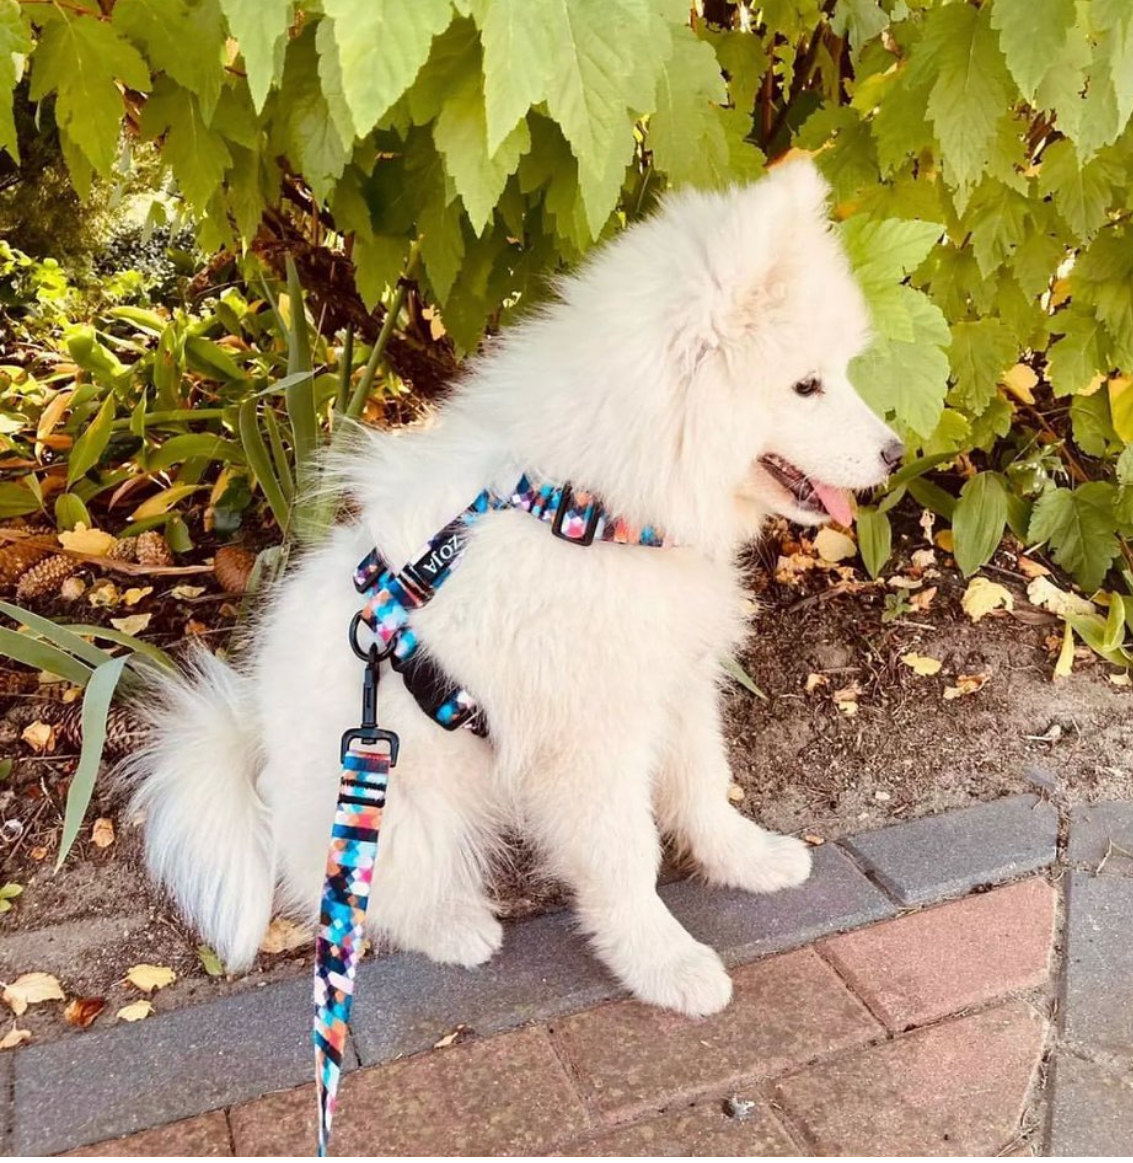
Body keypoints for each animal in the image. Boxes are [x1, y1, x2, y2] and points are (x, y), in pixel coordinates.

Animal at [125, 159, 901, 1017]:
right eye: (806, 386)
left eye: (838, 373)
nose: (896, 453)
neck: (590, 513)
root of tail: (258, 750)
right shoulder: (588, 740)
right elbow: (625, 855)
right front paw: (665, 962)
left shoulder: (675, 685)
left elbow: (703, 786)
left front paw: (747, 860)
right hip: (403, 796)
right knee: (352, 889)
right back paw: (455, 926)